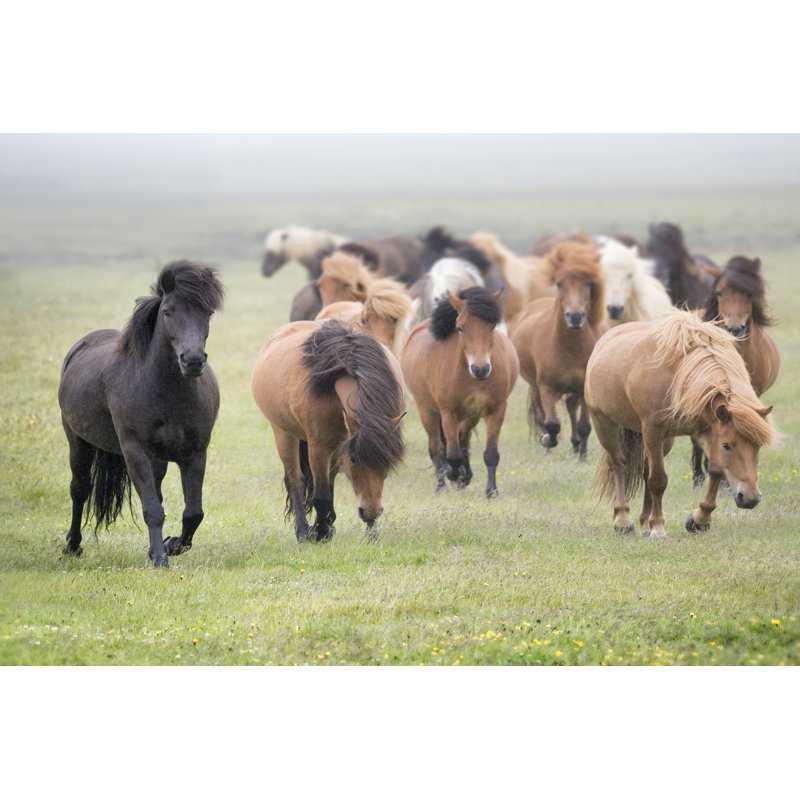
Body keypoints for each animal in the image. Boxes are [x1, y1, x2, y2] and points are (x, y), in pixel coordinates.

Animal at [58, 261, 225, 568]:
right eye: (168, 311)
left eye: (207, 312)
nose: (193, 361)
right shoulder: (135, 451)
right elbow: (152, 510)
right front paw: (160, 558)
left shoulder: (195, 453)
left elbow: (193, 513)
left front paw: (171, 545)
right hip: (78, 442)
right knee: (80, 489)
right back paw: (73, 545)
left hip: (158, 459)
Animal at [251, 319, 405, 542]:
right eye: (353, 459)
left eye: (388, 461)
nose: (370, 512)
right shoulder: (319, 446)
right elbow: (321, 495)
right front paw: (320, 533)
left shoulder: (338, 445)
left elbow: (329, 490)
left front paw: (369, 533)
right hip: (284, 434)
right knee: (295, 479)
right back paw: (303, 531)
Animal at [401, 287, 519, 497]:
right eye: (460, 328)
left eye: (492, 327)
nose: (480, 369)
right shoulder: (448, 412)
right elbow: (452, 454)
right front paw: (453, 474)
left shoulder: (496, 411)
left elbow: (490, 454)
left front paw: (491, 491)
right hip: (428, 412)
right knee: (437, 449)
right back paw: (442, 485)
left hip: (470, 415)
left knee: (463, 441)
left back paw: (465, 476)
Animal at [510, 242, 607, 461]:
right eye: (559, 284)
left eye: (588, 283)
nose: (575, 316)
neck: (570, 348)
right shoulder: (547, 387)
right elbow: (552, 423)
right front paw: (548, 440)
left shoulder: (582, 388)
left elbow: (584, 426)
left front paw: (583, 457)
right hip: (536, 387)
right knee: (542, 415)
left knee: (571, 407)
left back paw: (576, 446)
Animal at [585, 310, 776, 537]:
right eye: (727, 445)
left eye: (758, 446)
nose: (750, 499)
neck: (678, 374)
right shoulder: (653, 431)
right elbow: (658, 480)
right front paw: (658, 527)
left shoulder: (706, 431)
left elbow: (715, 471)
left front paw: (700, 519)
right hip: (605, 425)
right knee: (619, 465)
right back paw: (623, 520)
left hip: (664, 441)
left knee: (645, 471)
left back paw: (645, 523)